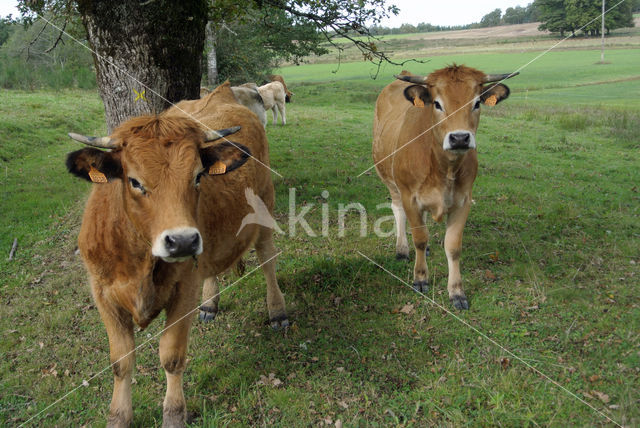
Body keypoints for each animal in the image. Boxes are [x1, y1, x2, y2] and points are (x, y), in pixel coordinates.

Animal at [65, 82, 288, 426]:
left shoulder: (183, 291)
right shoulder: (102, 293)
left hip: (264, 206)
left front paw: (173, 414)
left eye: (198, 176)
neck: (138, 259)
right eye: (134, 181)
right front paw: (118, 415)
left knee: (267, 261)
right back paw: (209, 303)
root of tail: (224, 91)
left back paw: (277, 311)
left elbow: (171, 356)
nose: (182, 241)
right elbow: (120, 361)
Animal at [372, 65, 516, 310]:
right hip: (390, 181)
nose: (459, 138)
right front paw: (420, 278)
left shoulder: (463, 201)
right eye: (437, 104)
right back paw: (402, 249)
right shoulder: (410, 197)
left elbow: (453, 247)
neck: (443, 169)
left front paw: (456, 292)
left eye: (476, 103)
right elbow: (419, 238)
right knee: (398, 211)